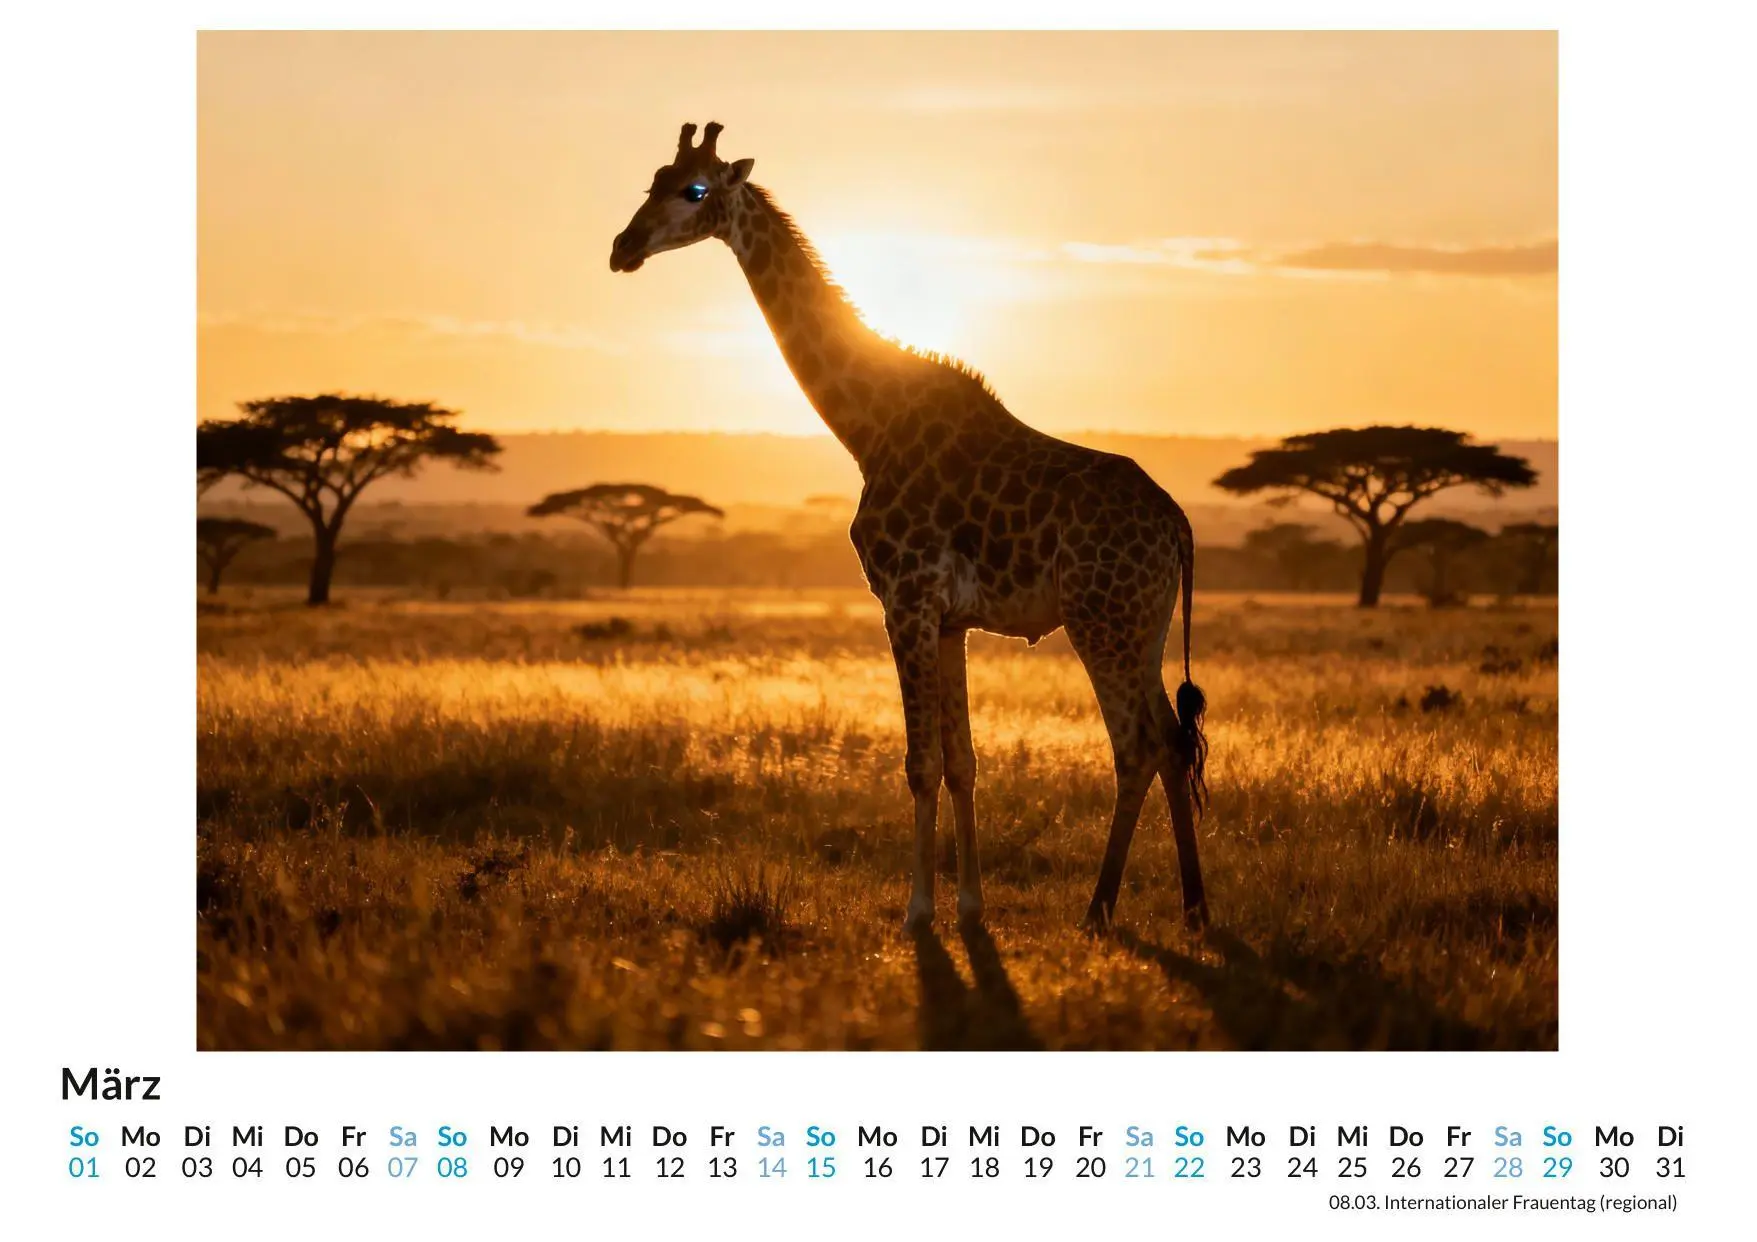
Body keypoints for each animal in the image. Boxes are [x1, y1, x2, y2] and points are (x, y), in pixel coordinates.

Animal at [610, 122, 1209, 932]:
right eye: (653, 179)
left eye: (694, 190)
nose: (623, 247)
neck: (867, 425)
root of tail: (1177, 524)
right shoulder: (949, 618)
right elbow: (962, 763)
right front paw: (969, 904)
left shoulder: (905, 599)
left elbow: (920, 764)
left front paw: (919, 910)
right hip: (1143, 626)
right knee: (1173, 742)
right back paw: (1194, 908)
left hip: (1100, 621)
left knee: (1137, 746)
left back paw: (1099, 908)